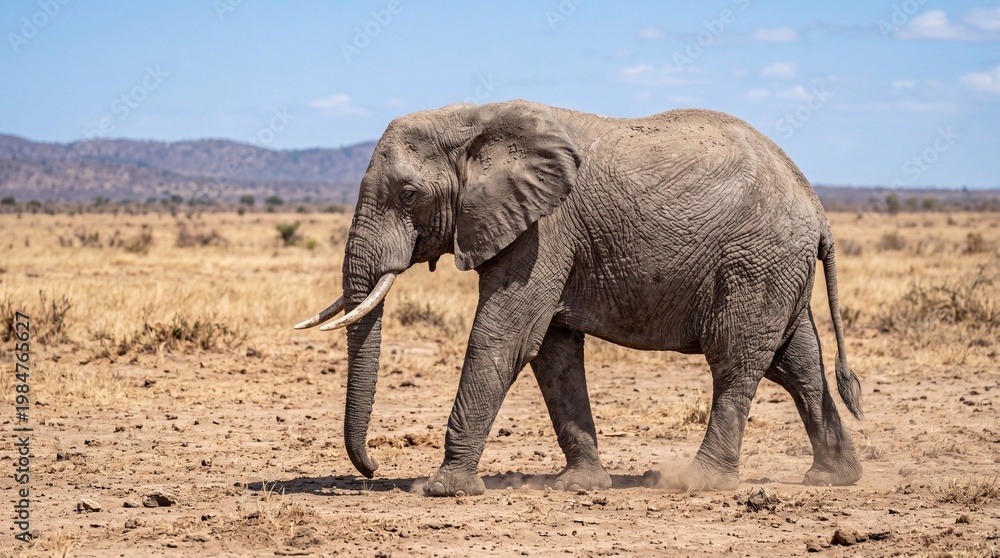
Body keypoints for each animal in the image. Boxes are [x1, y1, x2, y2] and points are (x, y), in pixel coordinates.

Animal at [296, 100, 863, 496]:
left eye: (409, 195)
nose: (373, 467)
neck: (471, 119)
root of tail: (817, 207)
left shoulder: (543, 229)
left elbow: (505, 339)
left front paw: (442, 489)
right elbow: (553, 354)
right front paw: (580, 486)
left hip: (756, 262)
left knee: (736, 362)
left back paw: (700, 483)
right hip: (777, 266)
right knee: (797, 363)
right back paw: (834, 478)